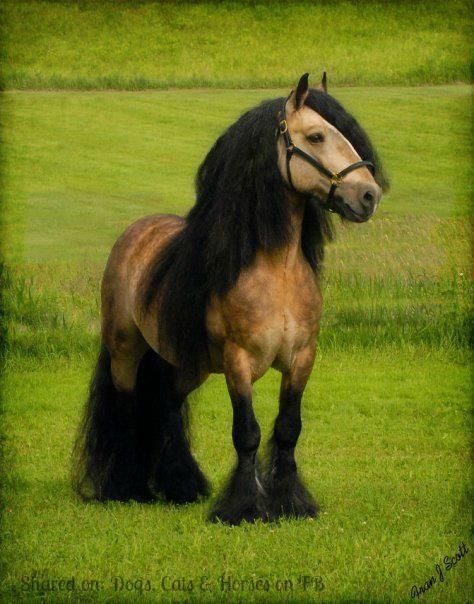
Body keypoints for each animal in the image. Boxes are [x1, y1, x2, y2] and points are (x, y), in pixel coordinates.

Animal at [72, 72, 386, 524]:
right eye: (315, 136)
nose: (368, 195)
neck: (276, 272)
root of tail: (134, 233)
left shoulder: (302, 358)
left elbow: (288, 428)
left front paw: (290, 502)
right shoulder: (238, 363)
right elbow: (247, 433)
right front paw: (244, 507)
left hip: (187, 365)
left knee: (167, 405)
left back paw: (181, 486)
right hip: (125, 353)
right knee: (126, 408)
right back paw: (126, 488)